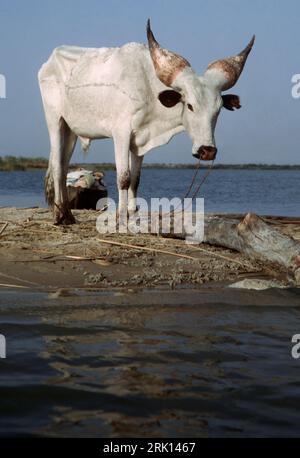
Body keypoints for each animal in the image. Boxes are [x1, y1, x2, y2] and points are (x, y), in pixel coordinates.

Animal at [37, 20, 253, 225]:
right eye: (190, 106)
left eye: (218, 109)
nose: (207, 151)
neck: (149, 92)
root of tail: (49, 62)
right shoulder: (121, 134)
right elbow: (124, 178)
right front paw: (121, 218)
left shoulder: (140, 140)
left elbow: (136, 179)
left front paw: (132, 215)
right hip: (54, 120)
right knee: (57, 166)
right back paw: (59, 216)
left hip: (70, 130)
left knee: (64, 164)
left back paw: (67, 214)